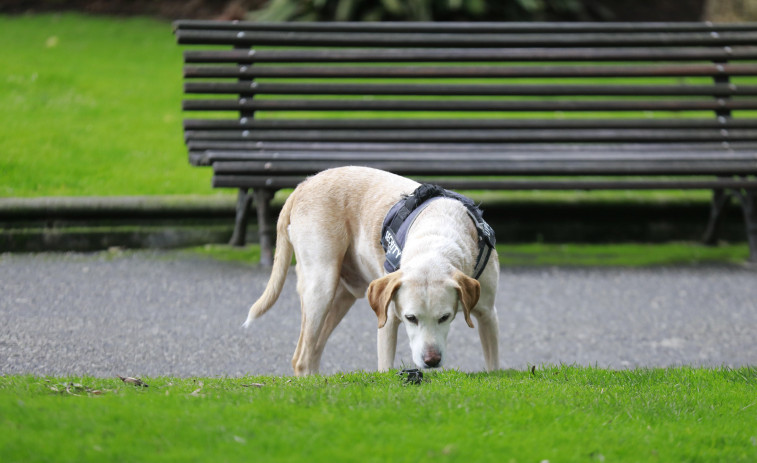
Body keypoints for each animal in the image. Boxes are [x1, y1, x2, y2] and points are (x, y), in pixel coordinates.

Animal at [245, 167, 500, 376]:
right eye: (411, 318)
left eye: (445, 317)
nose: (431, 360)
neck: (436, 237)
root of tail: (304, 184)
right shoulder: (388, 319)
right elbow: (385, 367)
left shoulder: (488, 315)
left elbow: (493, 367)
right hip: (321, 287)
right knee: (302, 357)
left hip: (342, 297)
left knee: (313, 350)